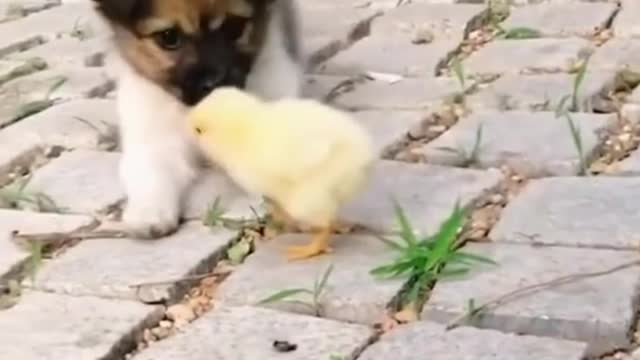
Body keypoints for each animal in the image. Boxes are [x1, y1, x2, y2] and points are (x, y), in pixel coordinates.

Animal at [90, 0, 308, 239]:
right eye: (169, 37)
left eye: (235, 27)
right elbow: (151, 172)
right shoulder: (152, 133)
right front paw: (149, 212)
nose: (216, 83)